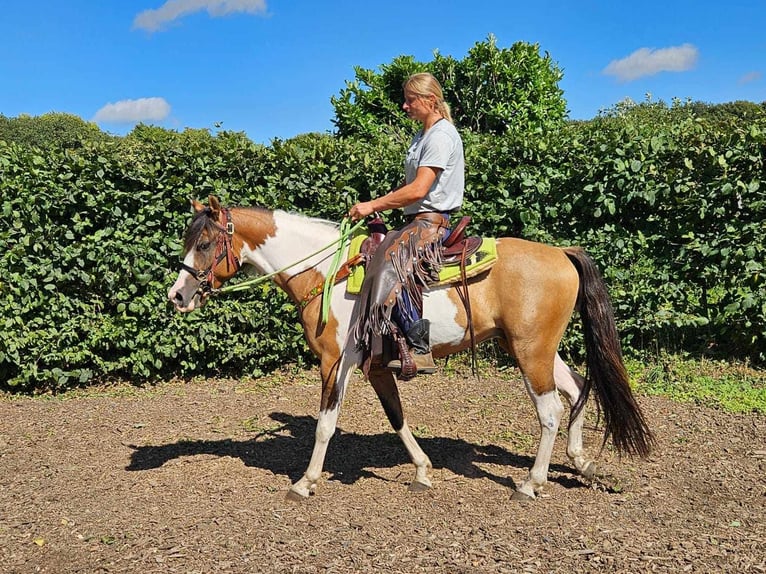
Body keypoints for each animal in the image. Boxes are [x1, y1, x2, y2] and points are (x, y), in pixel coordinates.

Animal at [168, 196, 656, 502]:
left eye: (205, 243)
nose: (177, 295)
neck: (326, 271)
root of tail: (562, 253)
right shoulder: (376, 367)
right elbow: (397, 417)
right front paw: (422, 471)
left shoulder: (335, 363)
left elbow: (325, 425)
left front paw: (305, 482)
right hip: (535, 348)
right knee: (577, 386)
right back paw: (581, 463)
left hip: (529, 351)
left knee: (550, 409)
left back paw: (530, 483)